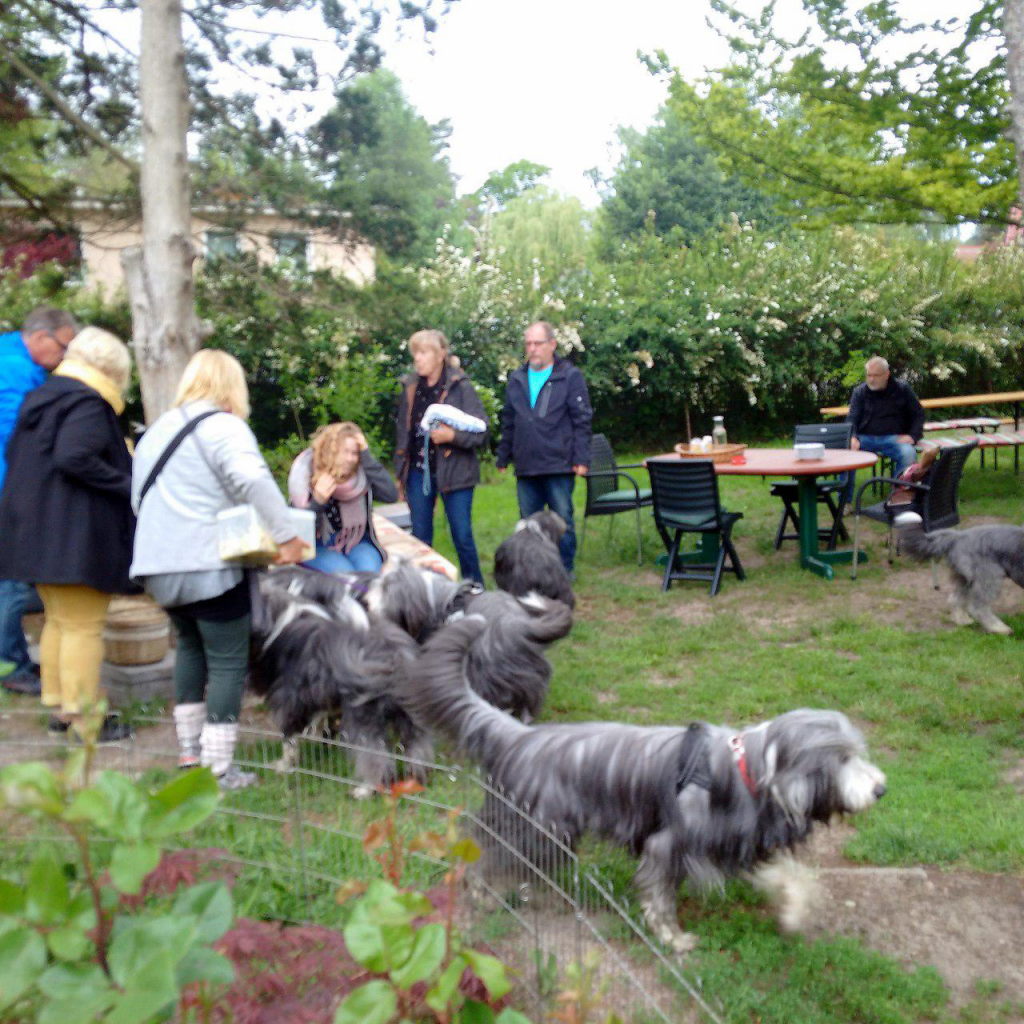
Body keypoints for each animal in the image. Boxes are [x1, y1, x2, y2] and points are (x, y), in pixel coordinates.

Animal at [403, 606, 884, 950]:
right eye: (842, 758)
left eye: (857, 753)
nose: (881, 788)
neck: (749, 773)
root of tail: (518, 735)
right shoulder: (667, 845)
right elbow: (660, 898)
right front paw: (674, 938)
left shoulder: (737, 841)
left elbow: (788, 875)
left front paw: (795, 912)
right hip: (535, 828)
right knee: (482, 847)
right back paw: (482, 890)